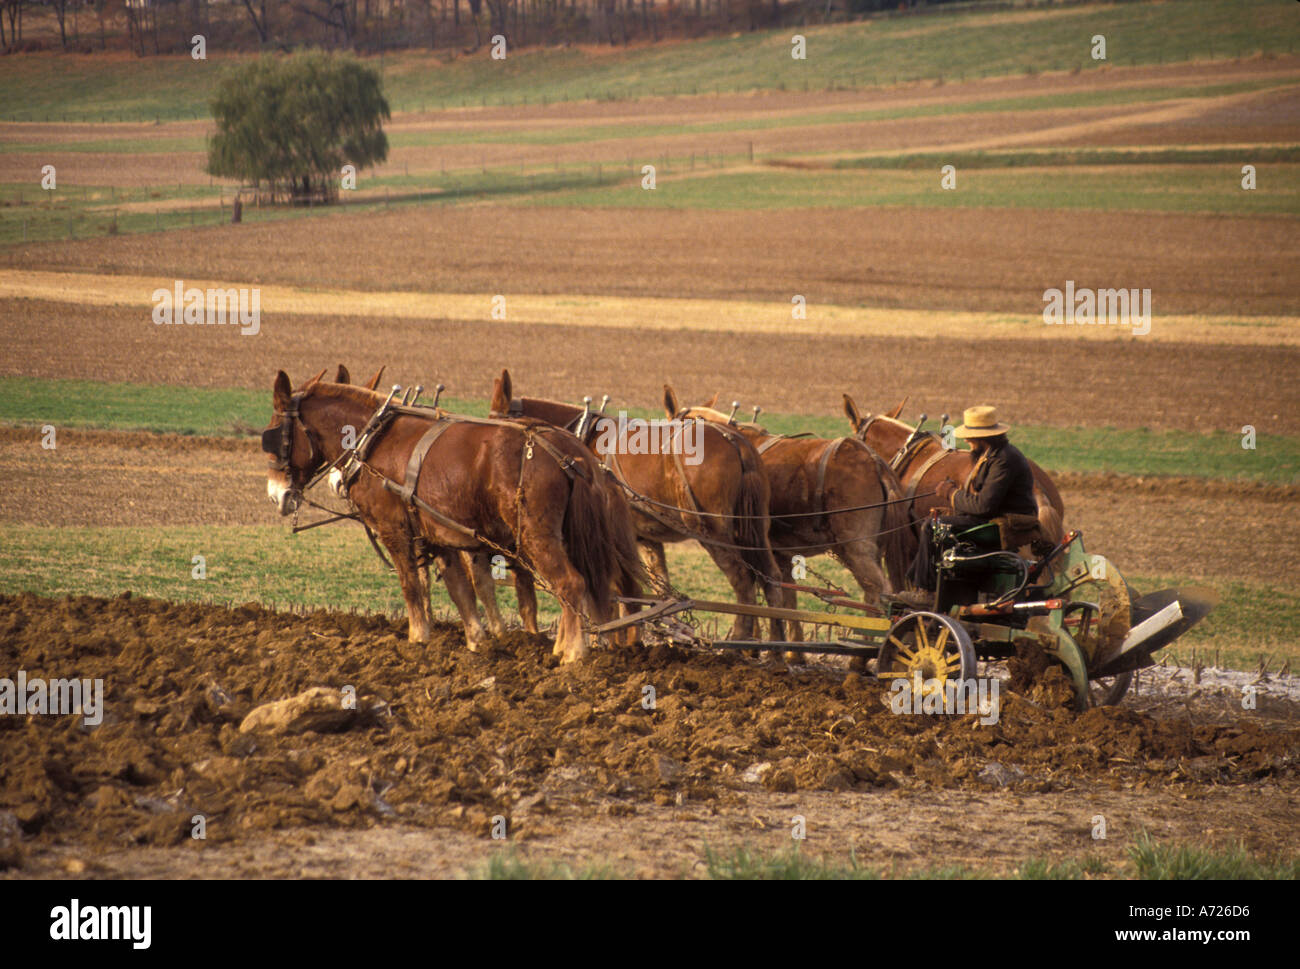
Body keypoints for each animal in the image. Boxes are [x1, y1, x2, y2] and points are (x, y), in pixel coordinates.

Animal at [262, 371, 634, 665]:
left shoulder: (395, 529)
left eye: (273, 434)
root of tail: (568, 452)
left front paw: (418, 638)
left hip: (536, 537)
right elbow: (460, 590)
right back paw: (566, 645)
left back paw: (573, 653)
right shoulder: (437, 535)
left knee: (571, 584)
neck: (372, 439)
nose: (276, 495)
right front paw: (476, 641)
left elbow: (410, 584)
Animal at [488, 369, 780, 642]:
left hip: (712, 531)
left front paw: (605, 637)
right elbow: (652, 592)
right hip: (757, 531)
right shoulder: (645, 540)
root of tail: (736, 441)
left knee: (743, 581)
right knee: (772, 580)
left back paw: (742, 639)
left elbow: (612, 592)